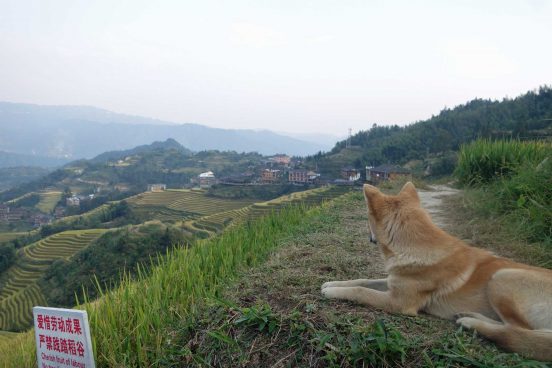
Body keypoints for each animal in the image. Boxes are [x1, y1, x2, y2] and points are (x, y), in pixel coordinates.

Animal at [320, 183, 552, 360]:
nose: (368, 237)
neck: (415, 244)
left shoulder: (398, 302)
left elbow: (361, 291)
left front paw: (333, 292)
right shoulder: (393, 282)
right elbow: (363, 280)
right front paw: (333, 283)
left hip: (502, 277)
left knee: (518, 330)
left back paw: (472, 323)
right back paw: (468, 316)